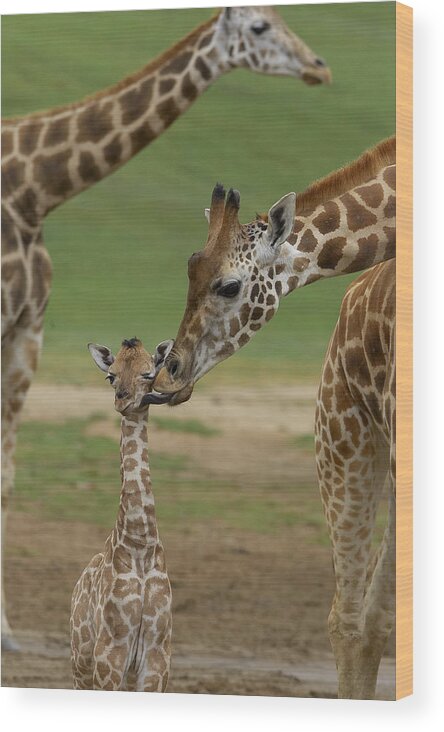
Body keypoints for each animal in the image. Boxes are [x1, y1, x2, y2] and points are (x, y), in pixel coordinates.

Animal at [1, 4, 332, 648]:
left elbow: (5, 474)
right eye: (259, 27)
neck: (33, 191)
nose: (318, 66)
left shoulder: (29, 329)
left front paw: (5, 629)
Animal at [70, 338, 174, 692]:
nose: (123, 400)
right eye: (111, 376)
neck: (141, 547)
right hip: (80, 666)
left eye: (149, 373)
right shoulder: (110, 655)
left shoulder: (157, 658)